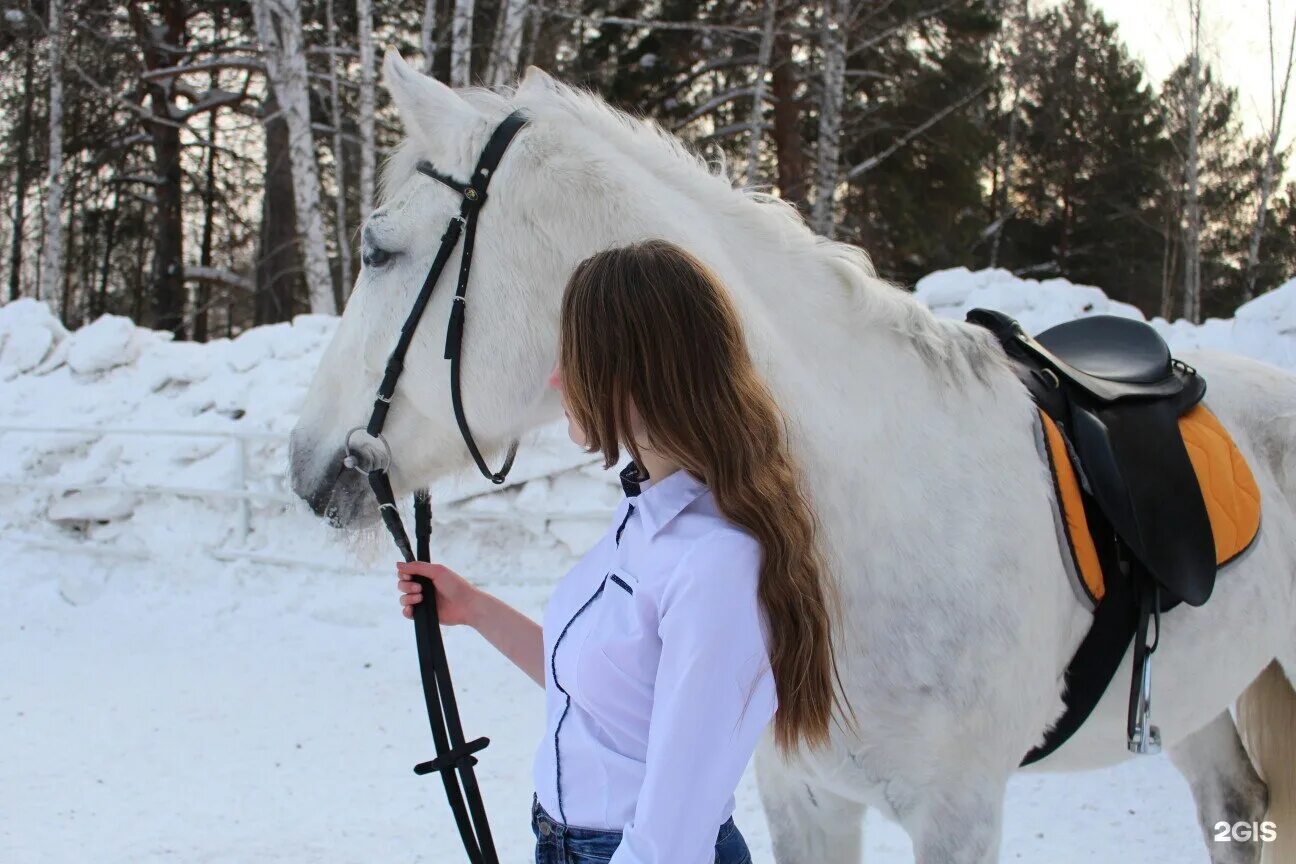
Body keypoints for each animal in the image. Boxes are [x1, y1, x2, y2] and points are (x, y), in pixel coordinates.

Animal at [294, 50, 1296, 860]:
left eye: (379, 250)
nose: (308, 463)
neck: (865, 507)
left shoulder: (960, 811)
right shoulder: (804, 795)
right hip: (1198, 698)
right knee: (1232, 807)